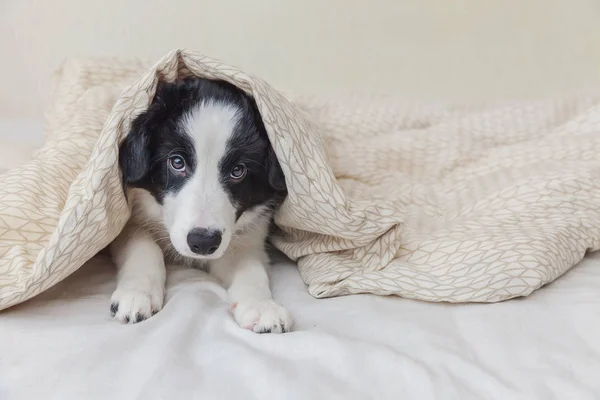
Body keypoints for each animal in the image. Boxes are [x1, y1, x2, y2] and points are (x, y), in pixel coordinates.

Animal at [112, 78, 292, 334]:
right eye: (177, 162)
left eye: (238, 170)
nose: (204, 242)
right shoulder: (126, 218)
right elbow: (143, 244)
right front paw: (137, 293)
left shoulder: (248, 236)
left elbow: (250, 268)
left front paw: (262, 306)